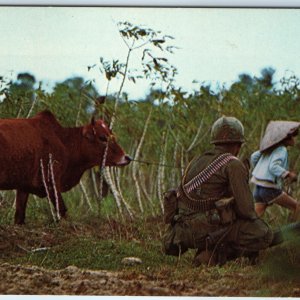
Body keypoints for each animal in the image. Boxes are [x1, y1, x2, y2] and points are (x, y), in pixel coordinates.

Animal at [0, 110, 131, 223]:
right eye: (102, 137)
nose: (127, 157)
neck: (64, 141)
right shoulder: (51, 183)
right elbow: (63, 211)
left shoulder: (23, 187)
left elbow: (19, 217)